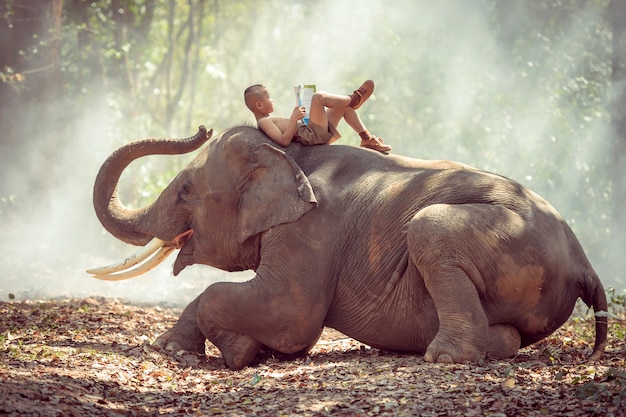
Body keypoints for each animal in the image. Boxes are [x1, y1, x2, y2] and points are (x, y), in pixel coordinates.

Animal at [88, 125, 604, 368]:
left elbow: (291, 316)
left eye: (185, 191)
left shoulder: (312, 228)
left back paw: (443, 357)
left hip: (503, 243)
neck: (289, 153)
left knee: (430, 230)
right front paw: (175, 350)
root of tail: (584, 262)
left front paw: (241, 352)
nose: (202, 128)